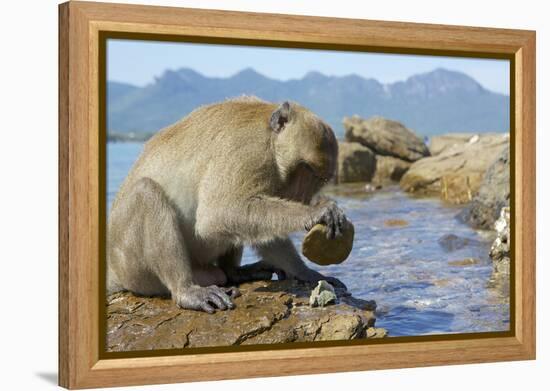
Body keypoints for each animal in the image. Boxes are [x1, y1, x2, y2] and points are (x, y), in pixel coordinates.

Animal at [108, 96, 350, 314]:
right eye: (306, 169)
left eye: (319, 179)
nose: (302, 197)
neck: (270, 141)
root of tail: (114, 271)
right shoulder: (248, 152)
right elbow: (217, 214)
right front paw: (317, 212)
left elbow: (267, 232)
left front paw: (305, 272)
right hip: (134, 268)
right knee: (146, 192)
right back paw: (186, 291)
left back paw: (235, 272)